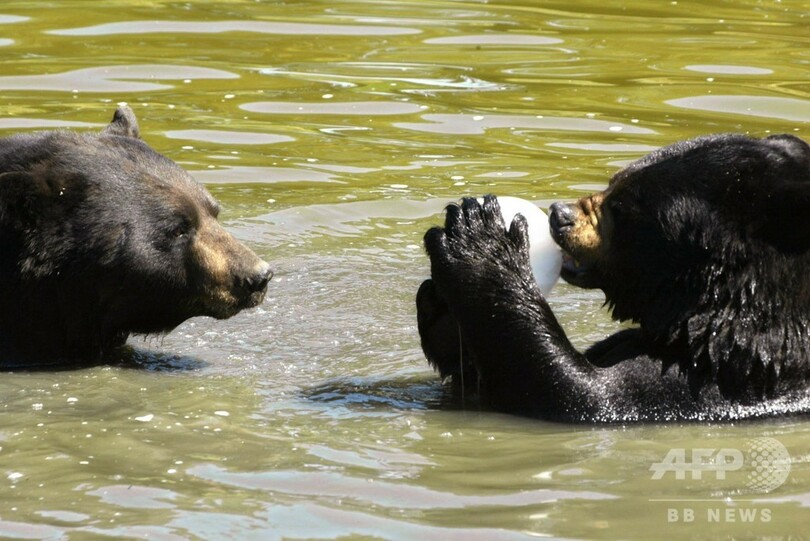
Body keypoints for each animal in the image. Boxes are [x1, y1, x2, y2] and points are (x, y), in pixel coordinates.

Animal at [416, 134, 808, 422]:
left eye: (620, 207)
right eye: (614, 180)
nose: (559, 214)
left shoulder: (725, 382)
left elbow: (580, 395)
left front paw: (480, 239)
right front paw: (440, 302)